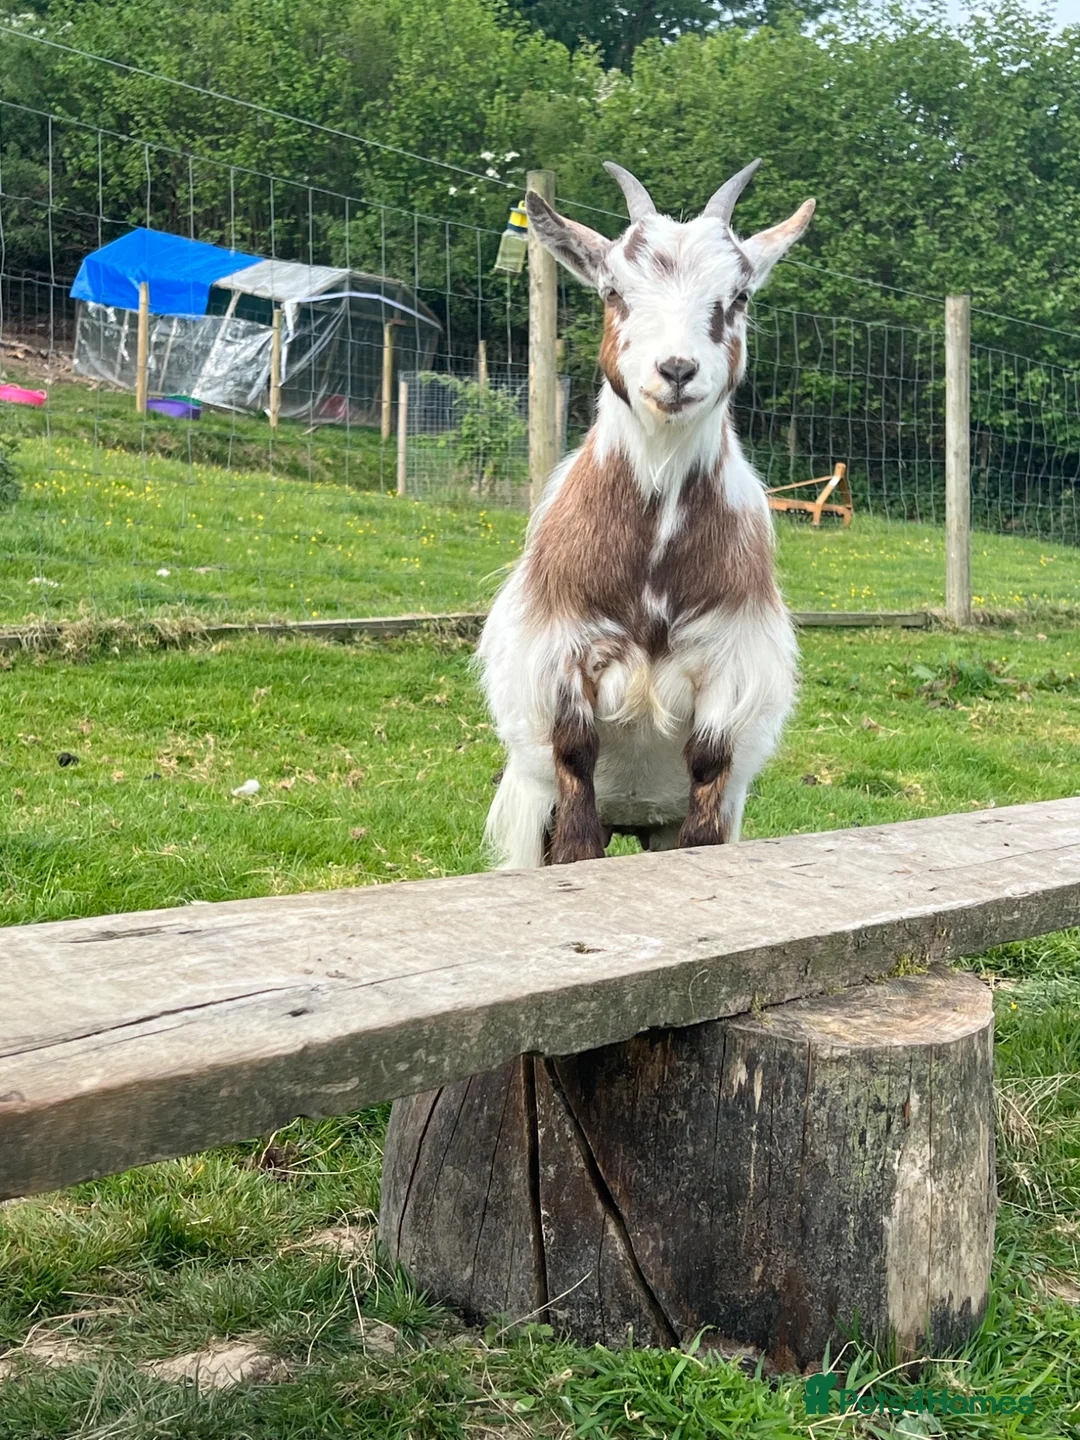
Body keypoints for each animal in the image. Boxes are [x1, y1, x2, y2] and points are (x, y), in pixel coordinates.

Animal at [477, 160, 814, 868]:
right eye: (612, 290)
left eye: (739, 296)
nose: (677, 369)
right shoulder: (563, 654)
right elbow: (575, 760)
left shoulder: (729, 665)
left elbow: (710, 763)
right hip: (531, 801)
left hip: (658, 819)